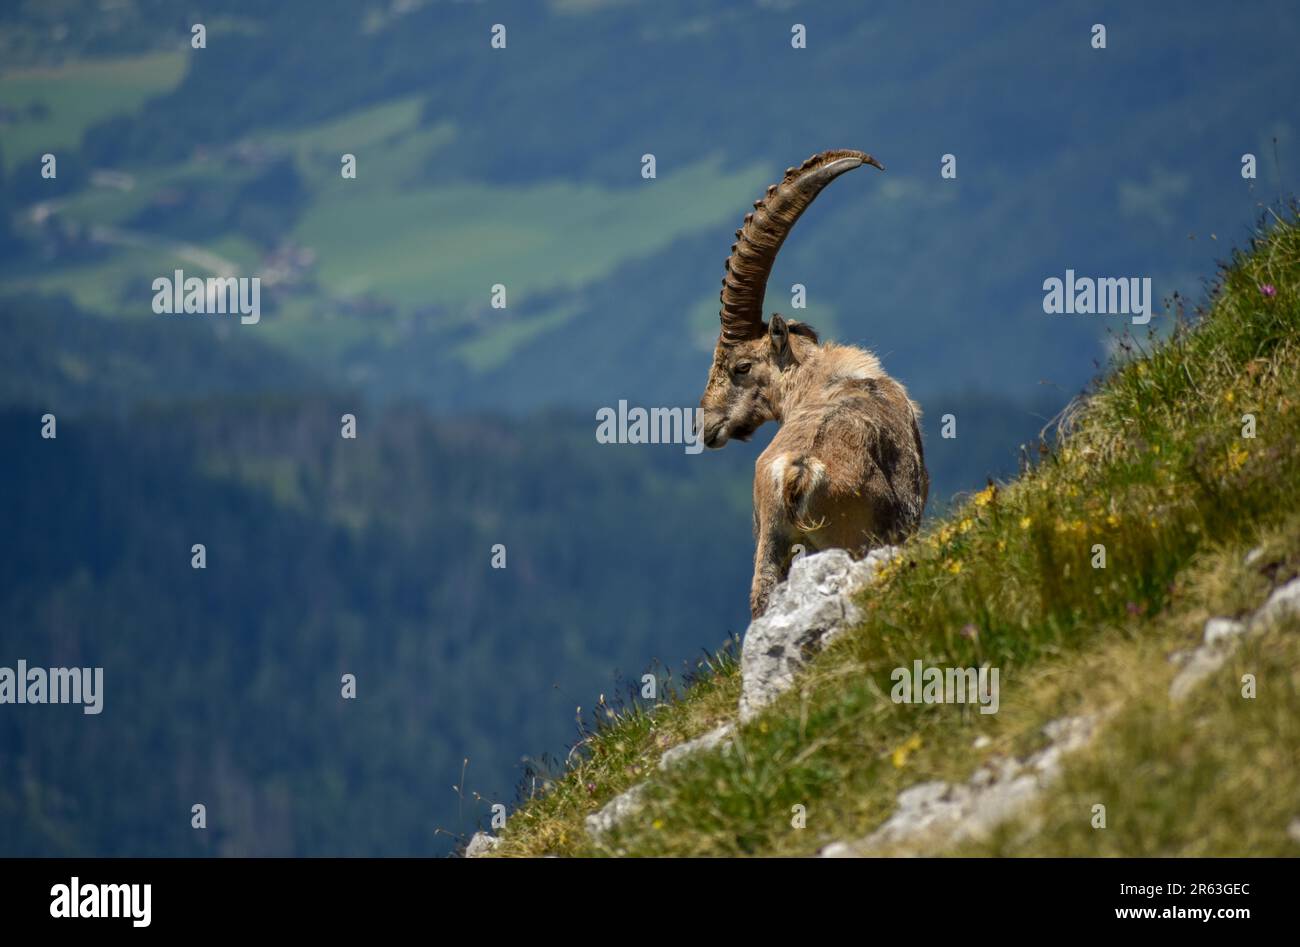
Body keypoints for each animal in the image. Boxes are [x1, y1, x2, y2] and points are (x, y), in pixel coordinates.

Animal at [697, 149, 929, 618]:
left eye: (741, 366)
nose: (707, 425)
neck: (820, 379)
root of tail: (796, 474)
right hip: (849, 542)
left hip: (770, 545)